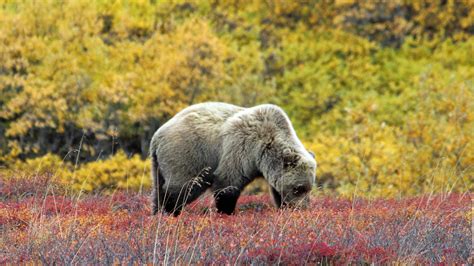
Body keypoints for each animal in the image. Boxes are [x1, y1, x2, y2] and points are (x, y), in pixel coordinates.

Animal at [150, 102, 316, 216]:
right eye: (298, 188)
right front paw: (226, 211)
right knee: (182, 188)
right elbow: (227, 184)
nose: (302, 208)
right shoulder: (241, 148)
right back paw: (170, 212)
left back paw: (157, 212)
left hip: (158, 165)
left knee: (159, 188)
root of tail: (157, 136)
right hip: (187, 155)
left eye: (309, 188)